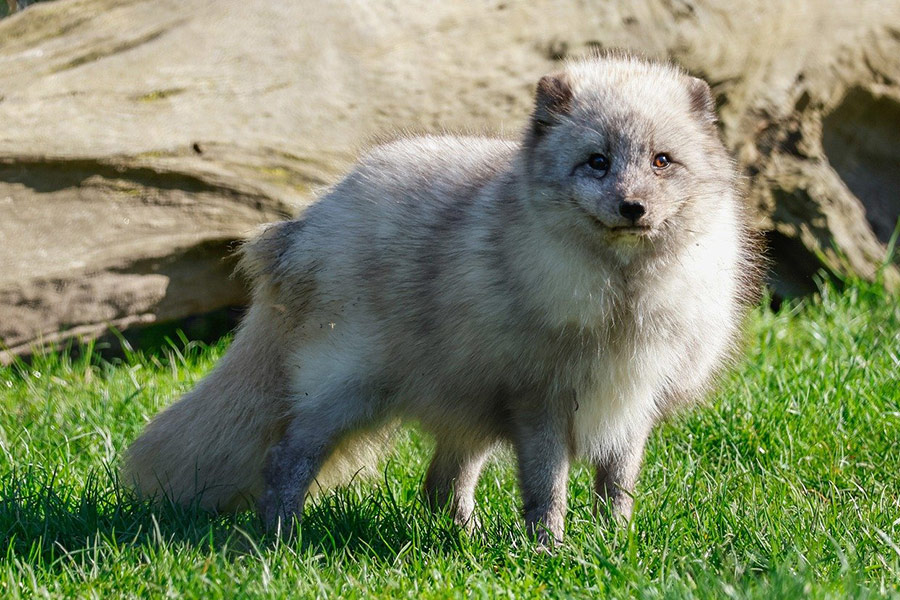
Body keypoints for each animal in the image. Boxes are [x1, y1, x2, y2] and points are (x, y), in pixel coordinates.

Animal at [124, 52, 759, 546]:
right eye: (597, 161)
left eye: (661, 161)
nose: (633, 207)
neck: (622, 299)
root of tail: (305, 223)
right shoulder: (539, 402)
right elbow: (548, 489)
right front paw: (549, 551)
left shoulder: (631, 403)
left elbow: (616, 489)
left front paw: (613, 547)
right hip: (346, 391)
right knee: (286, 460)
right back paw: (281, 538)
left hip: (465, 402)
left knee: (438, 486)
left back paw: (468, 542)